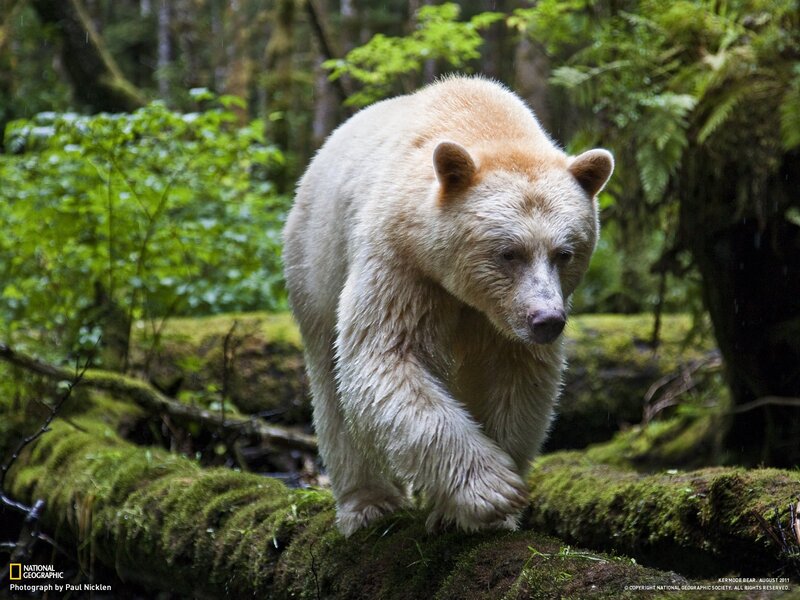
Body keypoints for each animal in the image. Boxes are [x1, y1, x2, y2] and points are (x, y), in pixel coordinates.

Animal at [283, 76, 613, 536]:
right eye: (509, 252)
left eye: (565, 253)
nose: (546, 320)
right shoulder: (402, 262)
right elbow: (386, 357)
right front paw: (492, 489)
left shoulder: (502, 322)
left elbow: (514, 379)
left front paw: (477, 512)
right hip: (316, 264)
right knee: (332, 384)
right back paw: (368, 502)